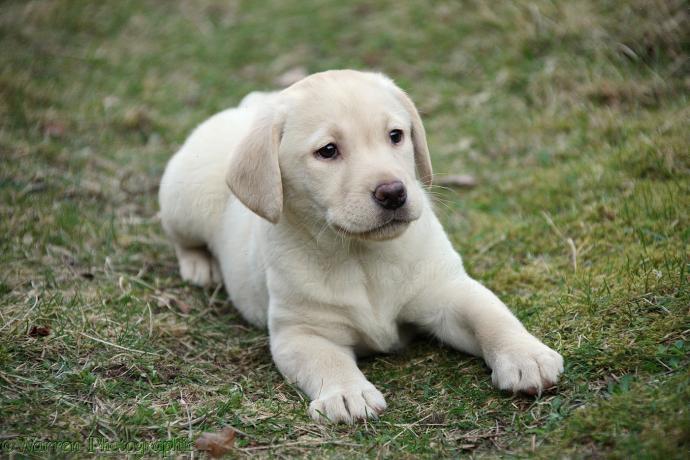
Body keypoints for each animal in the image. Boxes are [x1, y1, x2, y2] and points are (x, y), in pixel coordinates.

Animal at [159, 69, 560, 424]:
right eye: (328, 151)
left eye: (396, 135)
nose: (393, 193)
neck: (360, 254)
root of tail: (249, 108)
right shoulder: (301, 332)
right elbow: (327, 360)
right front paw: (346, 393)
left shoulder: (447, 291)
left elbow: (491, 316)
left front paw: (526, 356)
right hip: (183, 200)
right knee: (179, 237)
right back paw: (200, 267)